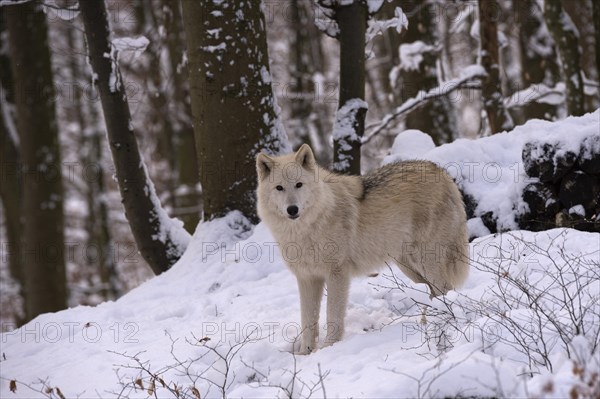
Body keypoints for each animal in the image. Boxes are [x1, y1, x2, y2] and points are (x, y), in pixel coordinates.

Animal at [254, 144, 468, 354]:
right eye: (279, 188)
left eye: (299, 184)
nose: (292, 209)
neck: (306, 228)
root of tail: (441, 172)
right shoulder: (307, 278)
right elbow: (308, 319)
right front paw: (304, 353)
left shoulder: (337, 273)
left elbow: (332, 314)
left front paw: (329, 348)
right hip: (410, 268)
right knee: (432, 292)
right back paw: (426, 323)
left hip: (426, 262)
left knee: (445, 290)